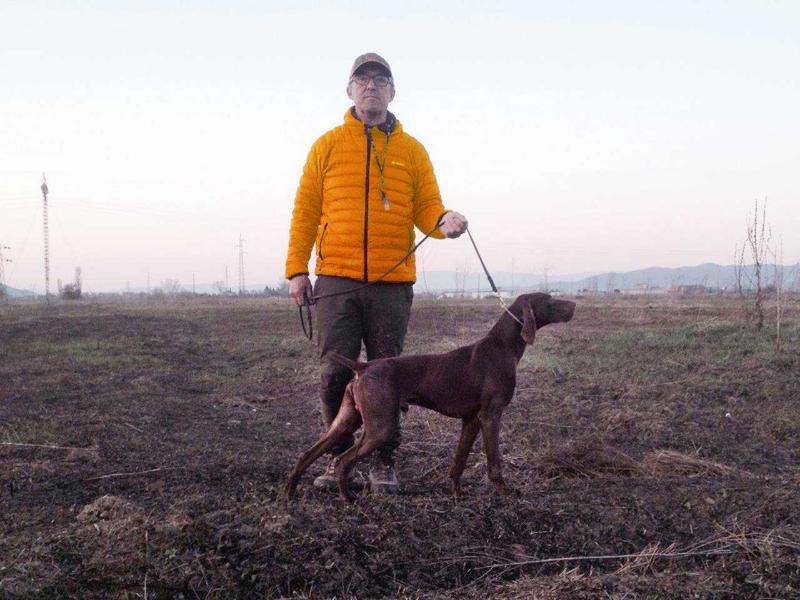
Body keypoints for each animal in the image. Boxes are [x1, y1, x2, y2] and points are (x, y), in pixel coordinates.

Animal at [284, 292, 572, 502]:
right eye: (550, 300)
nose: (574, 304)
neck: (503, 346)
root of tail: (363, 367)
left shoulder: (471, 420)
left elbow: (458, 462)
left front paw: (456, 494)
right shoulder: (491, 416)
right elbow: (494, 463)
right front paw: (506, 492)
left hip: (347, 420)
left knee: (307, 454)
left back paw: (290, 493)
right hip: (380, 427)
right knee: (342, 461)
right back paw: (348, 499)